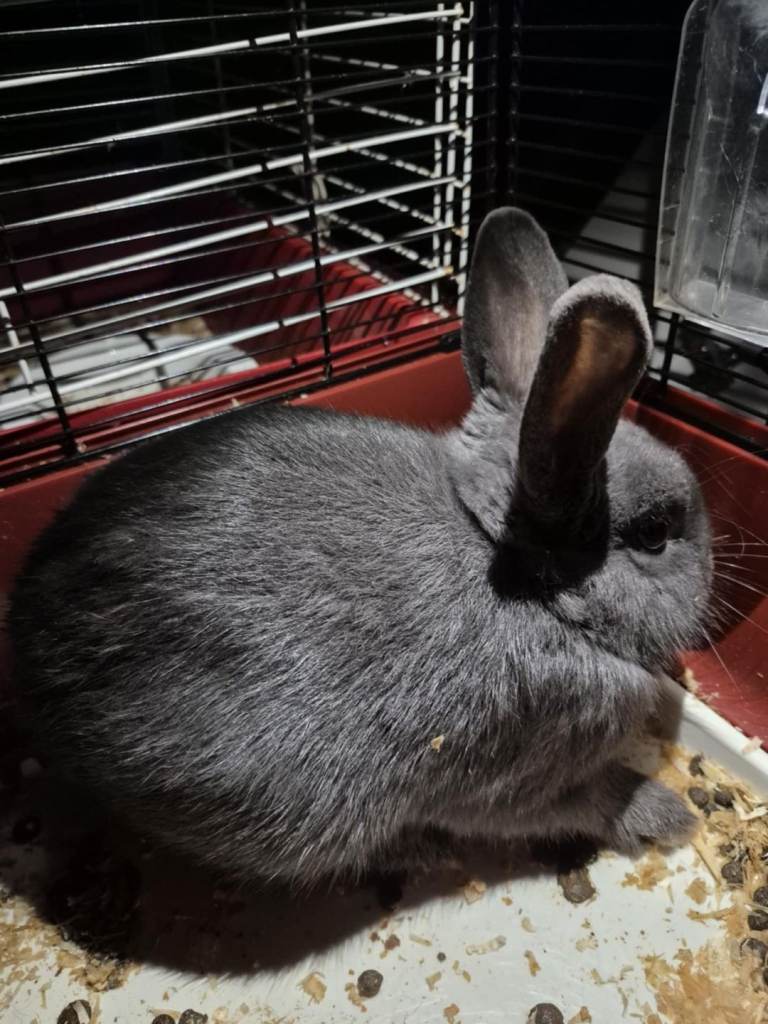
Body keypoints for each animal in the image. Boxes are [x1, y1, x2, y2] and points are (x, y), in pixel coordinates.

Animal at [9, 207, 711, 889]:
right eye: (655, 532)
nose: (714, 571)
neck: (522, 576)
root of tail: (27, 663)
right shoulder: (515, 779)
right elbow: (585, 796)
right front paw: (667, 814)